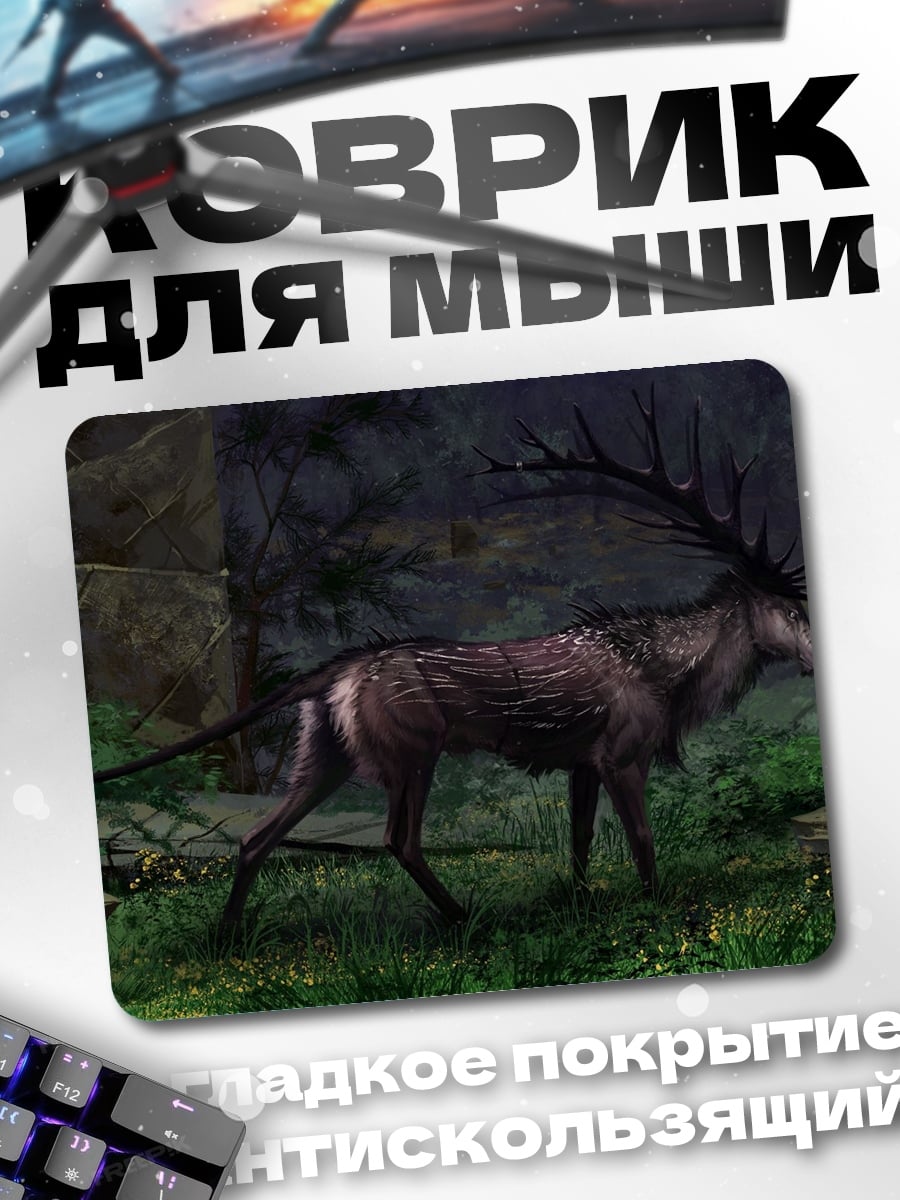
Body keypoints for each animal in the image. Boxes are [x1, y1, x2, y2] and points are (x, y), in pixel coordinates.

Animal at [93, 388, 812, 926]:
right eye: (793, 608)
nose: (812, 657)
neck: (668, 678)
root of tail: (337, 671)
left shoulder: (581, 760)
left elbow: (580, 841)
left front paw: (582, 903)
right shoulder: (620, 753)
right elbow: (641, 840)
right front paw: (655, 907)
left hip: (323, 751)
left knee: (255, 838)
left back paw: (228, 942)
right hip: (411, 748)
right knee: (397, 839)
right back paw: (463, 917)